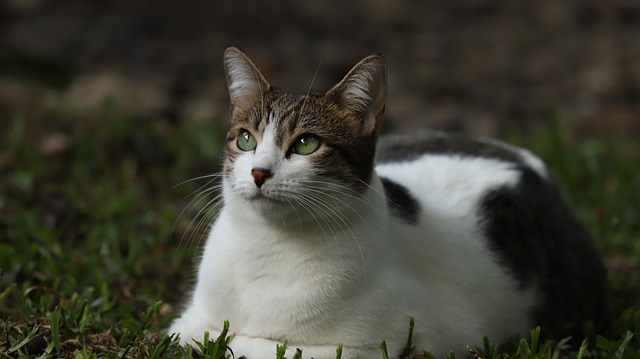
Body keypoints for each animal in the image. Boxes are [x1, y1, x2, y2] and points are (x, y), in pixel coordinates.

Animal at [170, 47, 608, 359]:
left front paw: (231, 340)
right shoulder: (191, 316)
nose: (258, 172)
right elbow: (190, 332)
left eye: (306, 144)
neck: (267, 247)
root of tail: (530, 160)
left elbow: (249, 344)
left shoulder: (374, 346)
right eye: (246, 139)